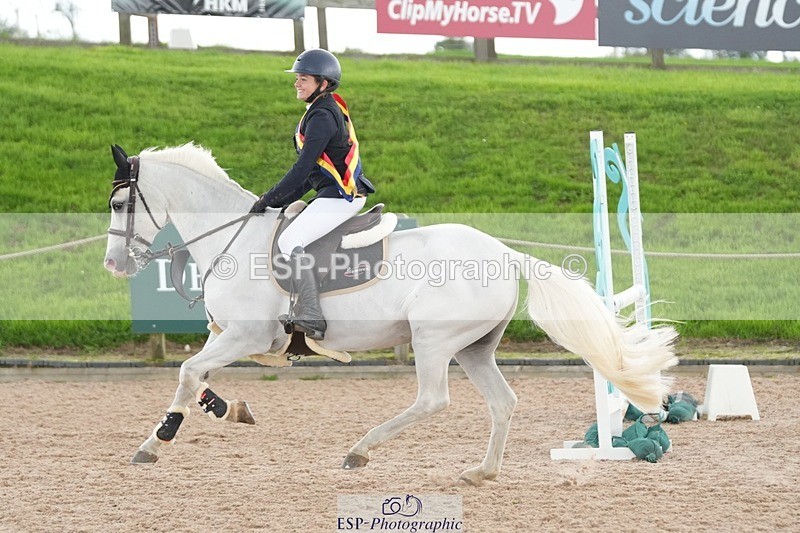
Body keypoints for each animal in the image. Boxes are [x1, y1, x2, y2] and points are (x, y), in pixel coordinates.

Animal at [103, 143, 678, 484]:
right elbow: (197, 373)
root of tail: (503, 251)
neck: (232, 236)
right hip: (474, 348)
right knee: (503, 402)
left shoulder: (247, 335)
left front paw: (157, 440)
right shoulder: (230, 335)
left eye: (118, 205)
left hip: (432, 340)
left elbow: (187, 371)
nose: (114, 264)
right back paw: (482, 472)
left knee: (431, 400)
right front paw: (229, 410)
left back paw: (360, 449)